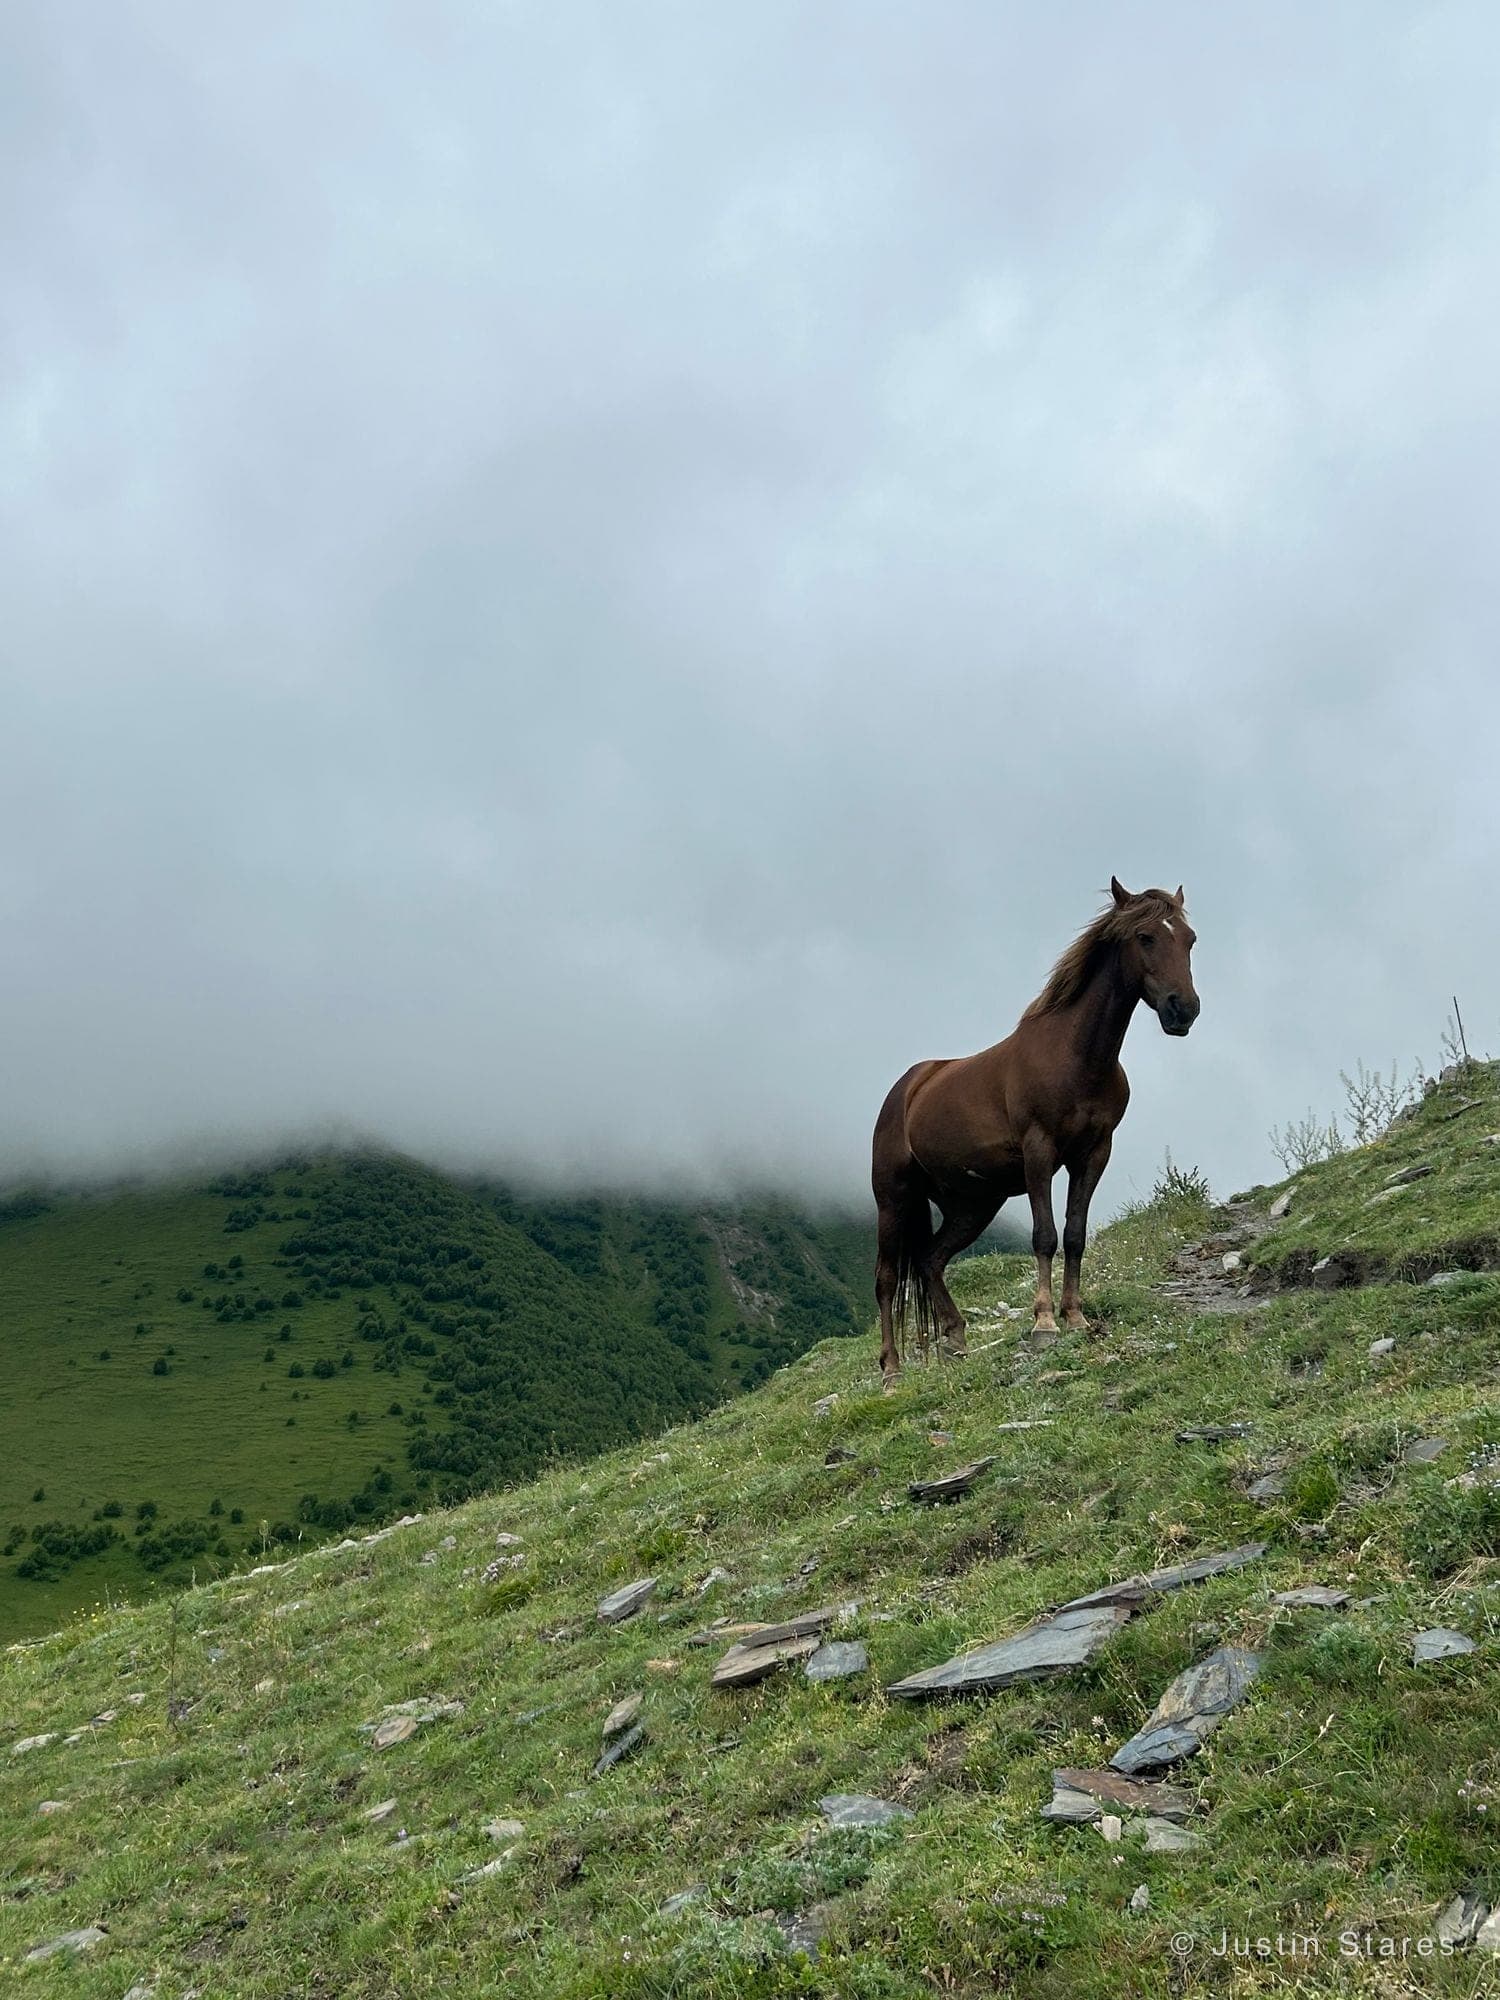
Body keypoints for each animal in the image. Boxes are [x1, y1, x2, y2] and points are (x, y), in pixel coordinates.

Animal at [871, 878, 1199, 1385]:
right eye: (1145, 937)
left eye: (1189, 940)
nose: (1183, 1009)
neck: (1075, 1057)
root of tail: (906, 1088)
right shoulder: (1040, 1153)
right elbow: (1044, 1235)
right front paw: (1044, 1322)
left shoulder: (1094, 1155)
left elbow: (1075, 1233)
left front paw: (1075, 1315)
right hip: (894, 1199)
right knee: (888, 1279)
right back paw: (891, 1369)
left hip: (973, 1205)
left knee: (930, 1260)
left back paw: (956, 1337)